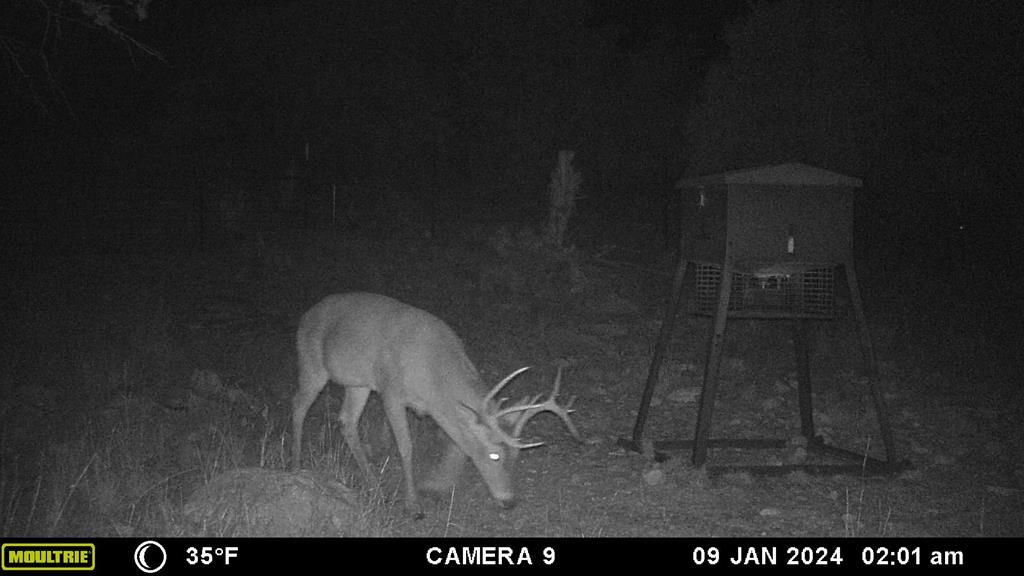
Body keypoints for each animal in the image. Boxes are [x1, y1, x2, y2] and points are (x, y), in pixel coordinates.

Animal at [290, 293, 581, 517]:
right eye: (494, 455)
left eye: (517, 456)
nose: (509, 501)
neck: (433, 374)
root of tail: (306, 315)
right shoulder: (391, 391)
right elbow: (406, 447)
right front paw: (414, 505)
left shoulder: (435, 408)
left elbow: (455, 444)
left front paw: (437, 486)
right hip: (312, 363)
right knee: (298, 405)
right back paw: (296, 465)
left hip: (358, 383)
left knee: (347, 421)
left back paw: (375, 488)